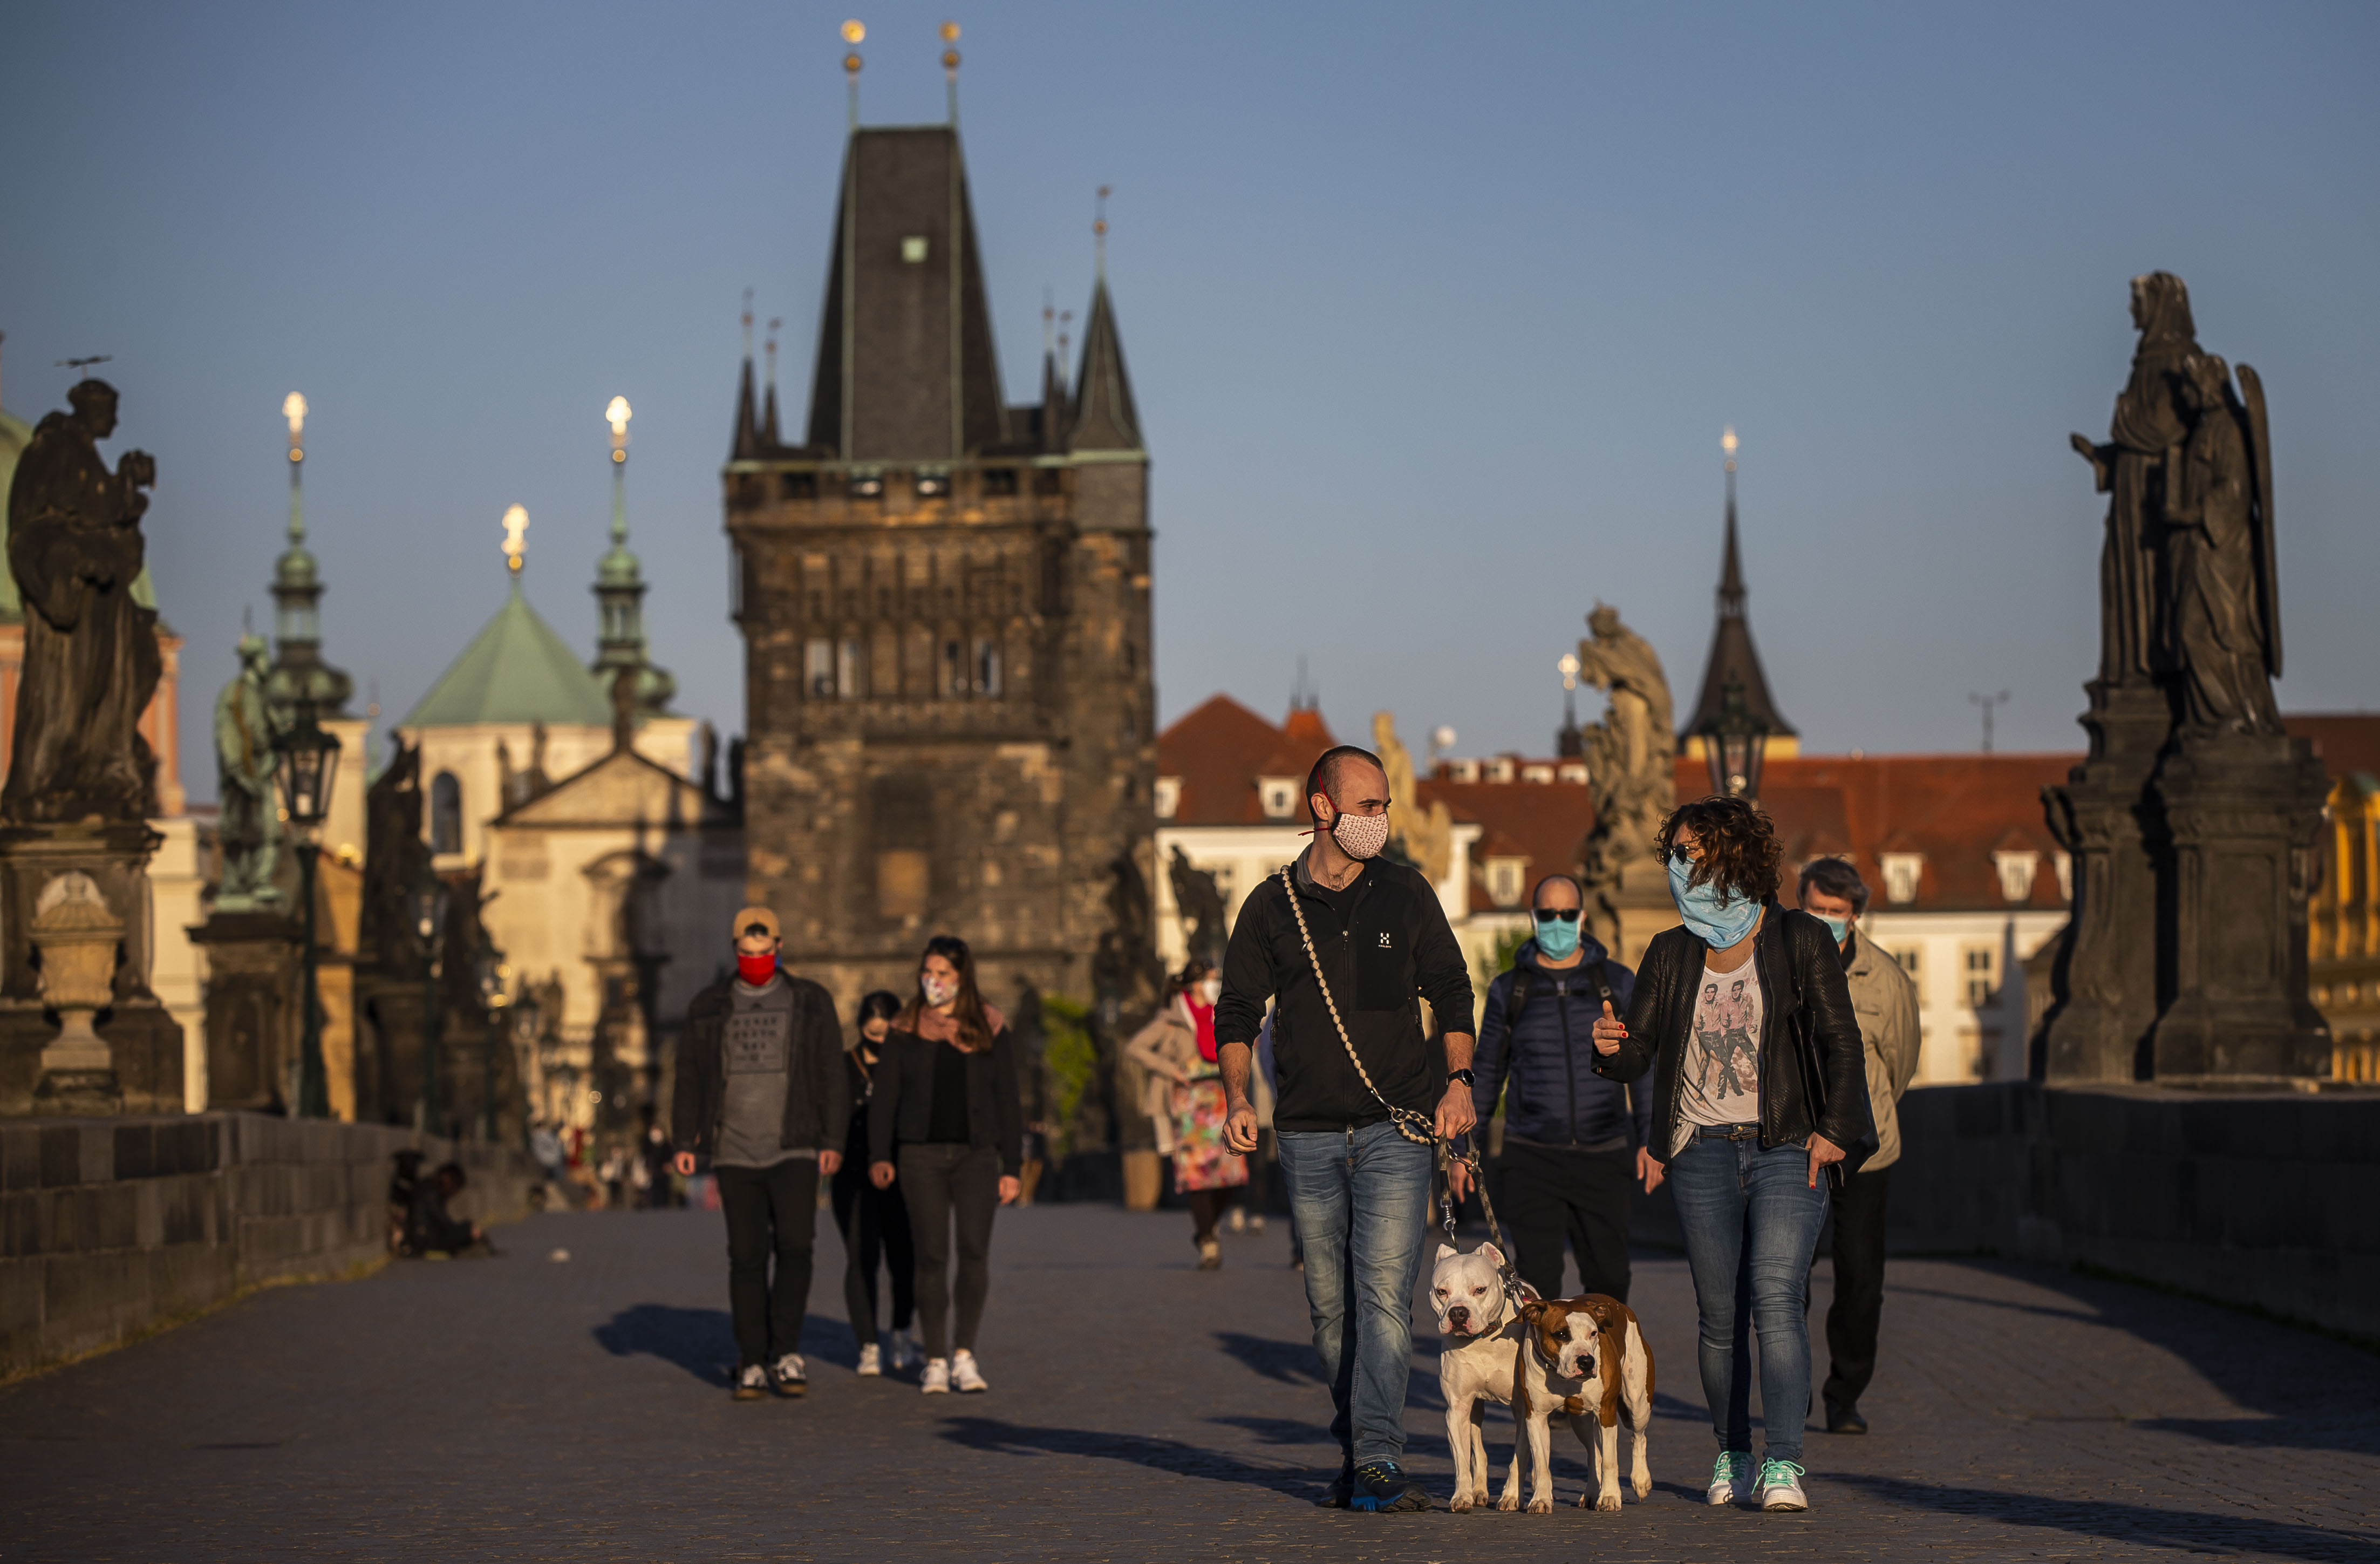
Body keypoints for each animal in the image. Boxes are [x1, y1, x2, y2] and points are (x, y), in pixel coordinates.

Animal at [1418, 1237, 1532, 1504]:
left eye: (1480, 1290)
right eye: (1442, 1292)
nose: (1458, 1313)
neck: (1483, 1341)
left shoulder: (1524, 1408)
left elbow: (1519, 1456)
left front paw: (1511, 1495)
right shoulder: (1457, 1408)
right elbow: (1461, 1459)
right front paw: (1462, 1497)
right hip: (1474, 1410)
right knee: (1478, 1451)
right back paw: (1479, 1490)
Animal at [1513, 1285, 1666, 1504]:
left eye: (1593, 1333)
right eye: (1561, 1334)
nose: (1587, 1362)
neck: (1561, 1377)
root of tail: (1620, 1306)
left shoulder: (1607, 1412)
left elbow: (1610, 1460)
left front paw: (1610, 1497)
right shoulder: (1536, 1416)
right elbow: (1542, 1462)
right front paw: (1541, 1499)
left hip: (1638, 1404)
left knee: (1638, 1438)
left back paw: (1641, 1480)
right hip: (1581, 1422)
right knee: (1594, 1453)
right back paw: (1592, 1493)